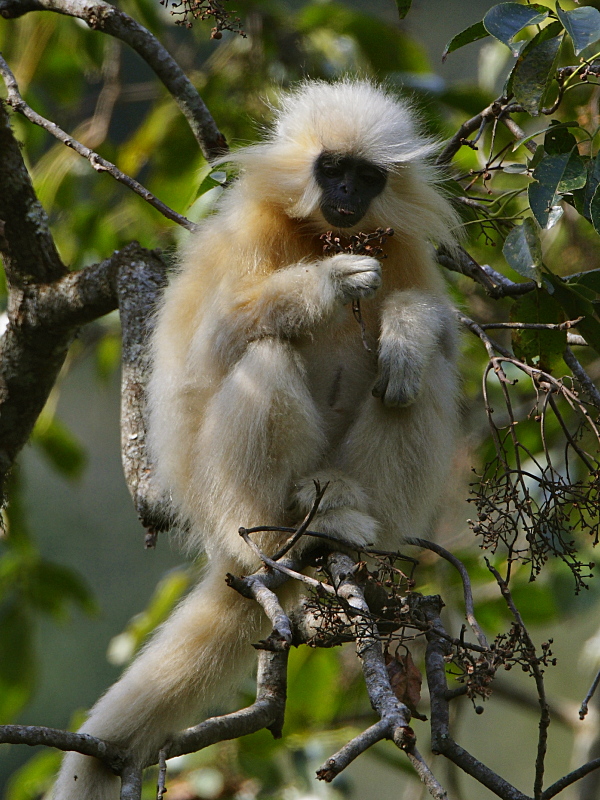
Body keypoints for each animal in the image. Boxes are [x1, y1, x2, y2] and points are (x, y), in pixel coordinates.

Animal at [54, 76, 462, 800]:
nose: (348, 194)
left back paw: (344, 520)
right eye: (332, 168)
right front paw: (329, 283)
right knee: (265, 354)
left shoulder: (402, 246)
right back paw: (280, 544)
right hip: (220, 501)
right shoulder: (252, 231)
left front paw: (408, 330)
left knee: (417, 379)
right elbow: (213, 347)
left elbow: (440, 329)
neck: (323, 234)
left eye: (366, 176)